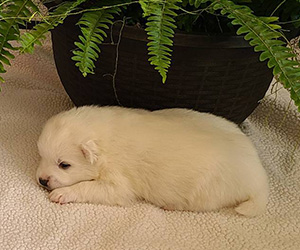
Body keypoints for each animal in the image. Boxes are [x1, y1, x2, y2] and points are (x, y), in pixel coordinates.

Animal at [36, 105, 268, 217]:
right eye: (41, 155)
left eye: (64, 165)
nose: (42, 181)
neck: (104, 142)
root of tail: (259, 178)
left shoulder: (118, 183)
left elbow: (89, 187)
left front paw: (62, 193)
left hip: (207, 190)